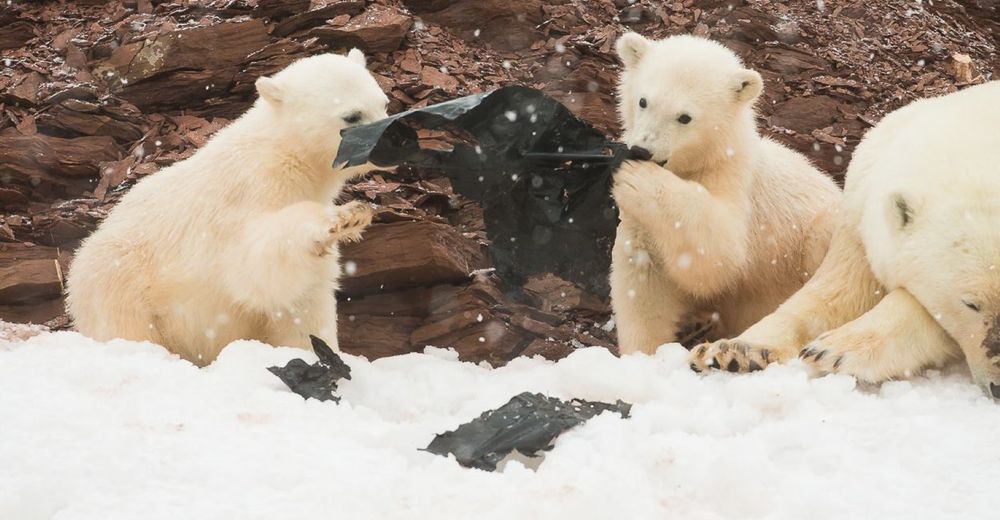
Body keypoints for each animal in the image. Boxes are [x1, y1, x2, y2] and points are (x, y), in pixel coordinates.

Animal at [66, 48, 386, 366]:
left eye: (384, 103)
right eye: (352, 115)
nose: (392, 139)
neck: (287, 156)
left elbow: (305, 299)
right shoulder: (248, 193)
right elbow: (257, 262)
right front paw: (342, 218)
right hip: (120, 277)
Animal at [692, 81, 1000, 398]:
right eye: (970, 304)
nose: (998, 386)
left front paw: (836, 350)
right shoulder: (860, 210)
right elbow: (840, 290)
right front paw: (732, 351)